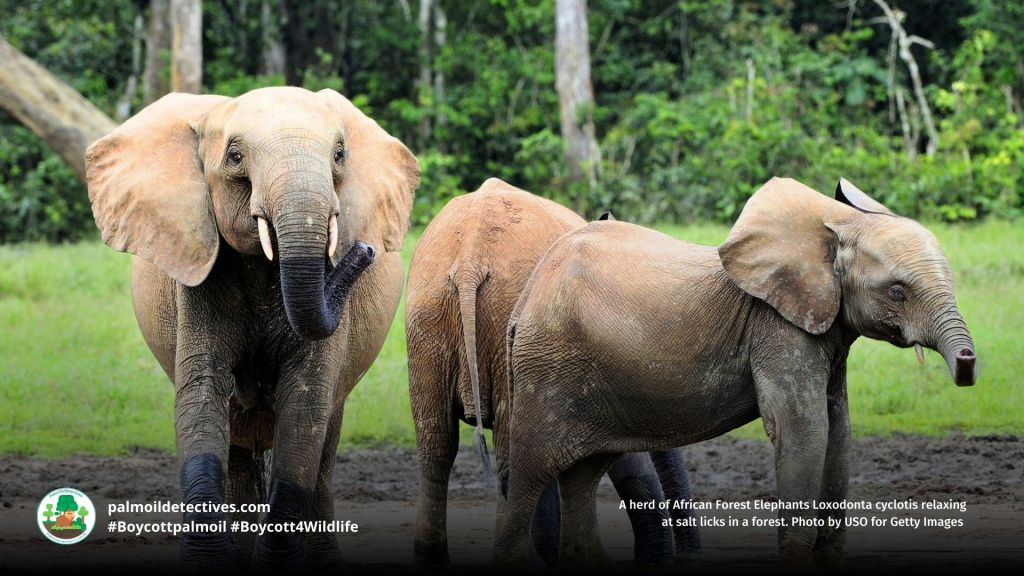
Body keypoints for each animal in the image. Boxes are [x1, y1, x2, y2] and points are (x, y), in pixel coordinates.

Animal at [85, 87, 419, 570]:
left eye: (339, 155)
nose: (364, 250)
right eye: (235, 156)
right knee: (239, 445)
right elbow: (202, 393)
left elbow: (305, 407)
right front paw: (211, 562)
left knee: (324, 445)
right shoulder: (199, 280)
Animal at [495, 177, 977, 568]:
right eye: (897, 292)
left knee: (581, 475)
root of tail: (525, 300)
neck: (834, 226)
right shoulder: (777, 327)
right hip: (544, 371)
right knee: (528, 474)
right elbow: (804, 430)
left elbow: (838, 431)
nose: (968, 364)